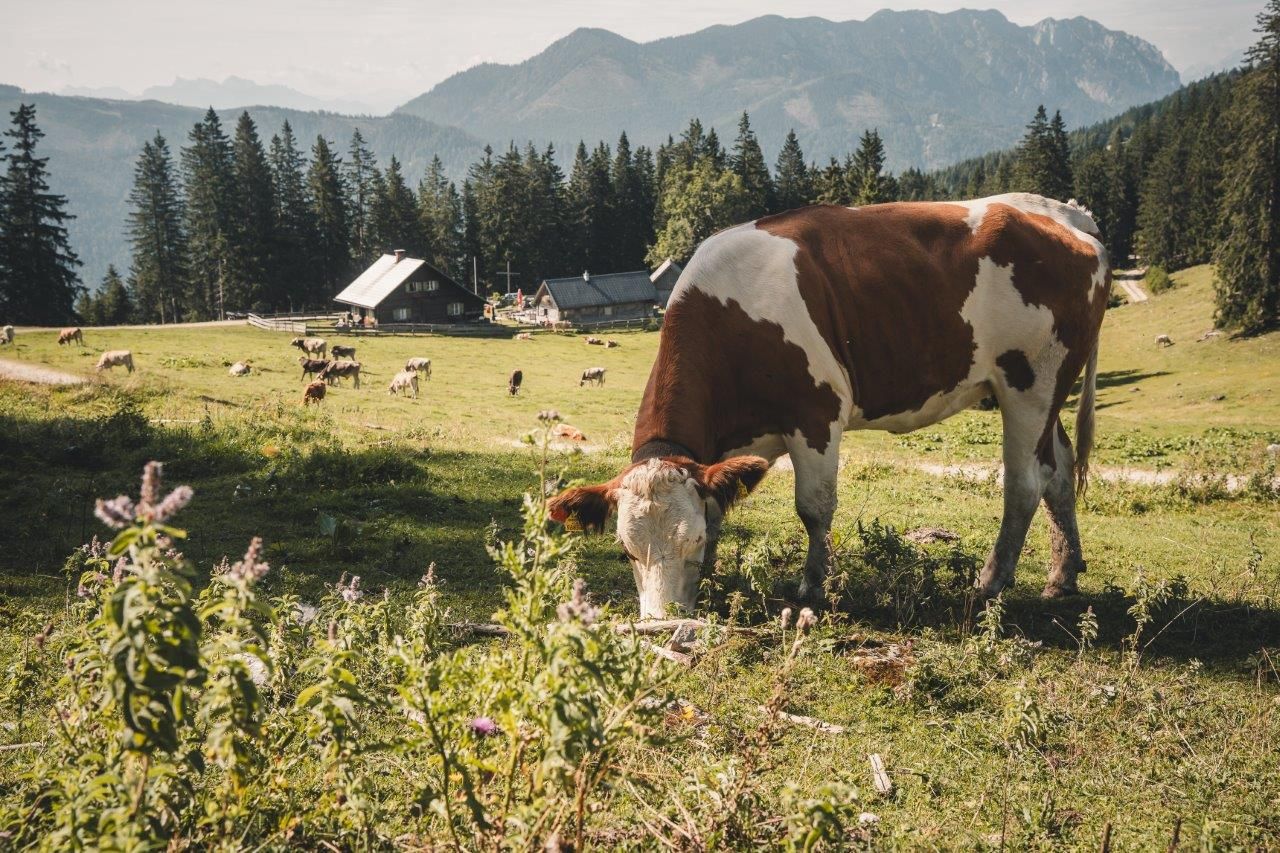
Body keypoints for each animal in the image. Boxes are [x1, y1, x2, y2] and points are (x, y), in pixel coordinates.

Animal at [548, 195, 1110, 619]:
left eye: (692, 541)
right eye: (625, 550)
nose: (660, 621)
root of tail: (1068, 215)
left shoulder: (816, 413)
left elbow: (813, 509)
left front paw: (812, 586)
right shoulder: (735, 447)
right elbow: (722, 499)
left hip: (1029, 383)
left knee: (1026, 483)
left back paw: (991, 582)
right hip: (1044, 390)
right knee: (1059, 473)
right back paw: (1062, 575)